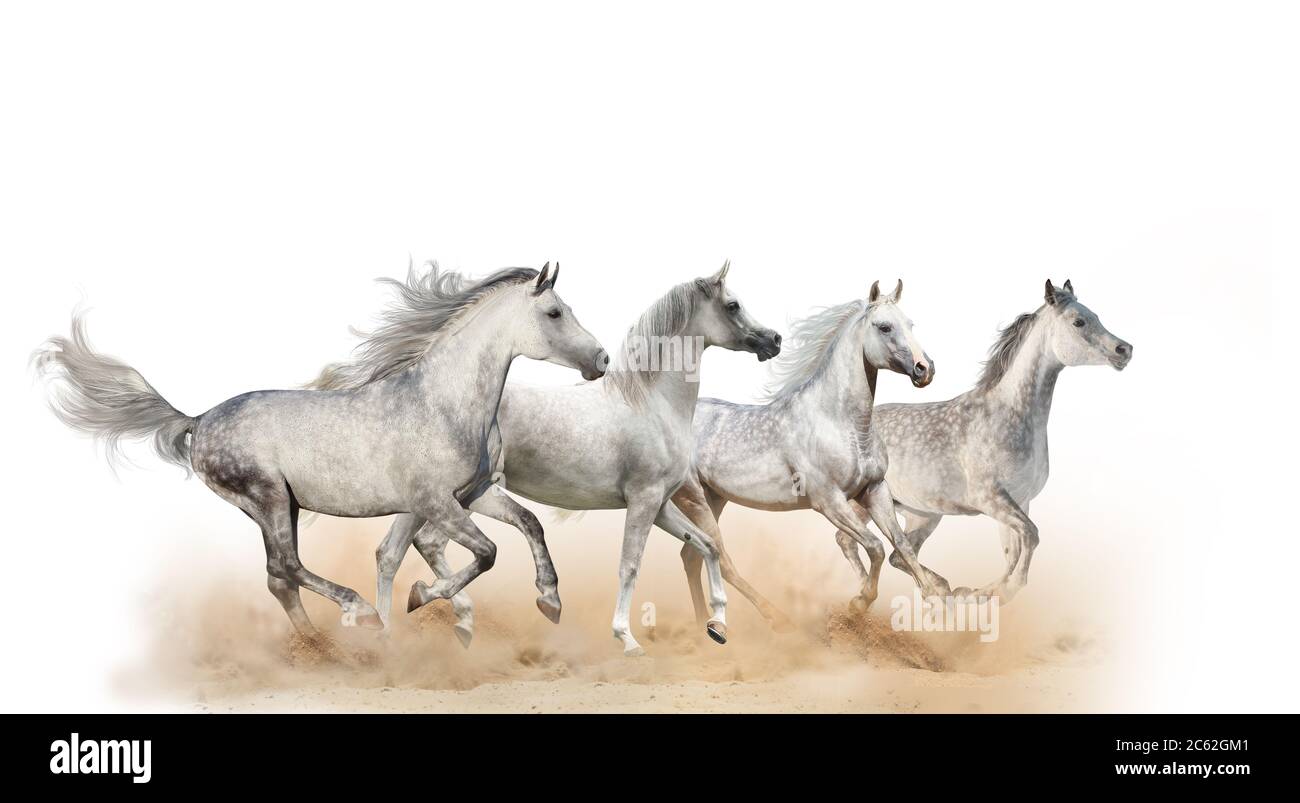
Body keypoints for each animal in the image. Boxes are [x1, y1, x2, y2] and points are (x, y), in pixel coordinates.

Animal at [35, 262, 607, 634]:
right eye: (554, 313)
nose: (601, 360)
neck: (442, 401)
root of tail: (198, 421)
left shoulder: (472, 493)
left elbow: (526, 524)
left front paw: (549, 601)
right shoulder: (433, 501)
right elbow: (484, 552)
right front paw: (420, 599)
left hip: (280, 506)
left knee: (278, 579)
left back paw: (321, 650)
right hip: (267, 498)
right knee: (287, 568)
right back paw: (358, 616)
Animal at [365, 261, 783, 655]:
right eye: (733, 305)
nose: (774, 340)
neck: (652, 404)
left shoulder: (662, 505)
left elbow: (707, 545)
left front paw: (718, 625)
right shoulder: (644, 500)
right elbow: (630, 566)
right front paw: (627, 639)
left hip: (441, 499)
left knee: (398, 550)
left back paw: (424, 620)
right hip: (454, 498)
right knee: (412, 548)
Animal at [672, 280, 944, 631]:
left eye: (910, 324)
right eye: (884, 327)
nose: (925, 369)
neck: (841, 423)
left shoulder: (875, 490)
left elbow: (903, 546)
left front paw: (936, 606)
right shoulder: (828, 501)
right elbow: (875, 547)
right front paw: (859, 603)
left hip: (713, 498)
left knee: (692, 555)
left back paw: (701, 626)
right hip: (692, 497)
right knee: (720, 557)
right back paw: (771, 617)